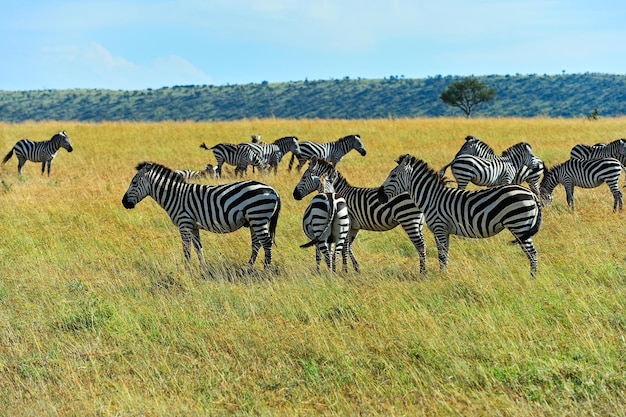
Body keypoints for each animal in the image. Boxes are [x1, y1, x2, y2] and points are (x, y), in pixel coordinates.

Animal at [120, 161, 280, 268]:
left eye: (134, 182)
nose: (124, 202)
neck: (175, 196)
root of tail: (273, 190)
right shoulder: (193, 226)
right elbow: (198, 248)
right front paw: (203, 268)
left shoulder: (184, 223)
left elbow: (186, 249)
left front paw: (187, 269)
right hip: (254, 220)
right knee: (257, 244)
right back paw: (249, 267)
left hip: (258, 216)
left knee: (266, 243)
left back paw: (266, 269)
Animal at [292, 156, 424, 272]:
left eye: (304, 177)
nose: (294, 195)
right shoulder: (353, 227)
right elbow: (348, 247)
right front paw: (355, 268)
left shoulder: (348, 224)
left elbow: (345, 248)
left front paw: (345, 269)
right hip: (418, 222)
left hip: (408, 219)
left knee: (419, 245)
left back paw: (422, 272)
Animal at [376, 154, 540, 278]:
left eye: (393, 175)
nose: (379, 196)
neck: (432, 198)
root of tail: (531, 193)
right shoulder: (445, 231)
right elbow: (445, 254)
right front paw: (445, 274)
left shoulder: (439, 228)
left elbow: (441, 255)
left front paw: (442, 276)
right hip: (523, 226)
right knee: (532, 253)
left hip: (519, 225)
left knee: (532, 253)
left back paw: (532, 278)